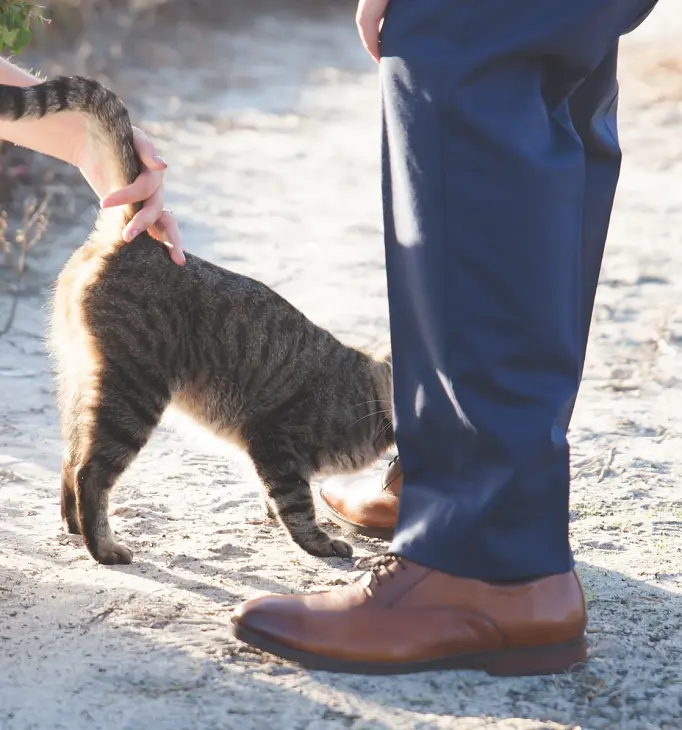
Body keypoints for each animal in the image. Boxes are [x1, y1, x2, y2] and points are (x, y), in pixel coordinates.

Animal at [0, 75, 394, 564]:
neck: (367, 393)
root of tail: (134, 235)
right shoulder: (276, 441)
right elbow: (297, 505)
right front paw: (320, 543)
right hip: (133, 392)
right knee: (90, 472)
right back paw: (105, 548)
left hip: (82, 380)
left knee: (70, 458)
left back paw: (74, 527)